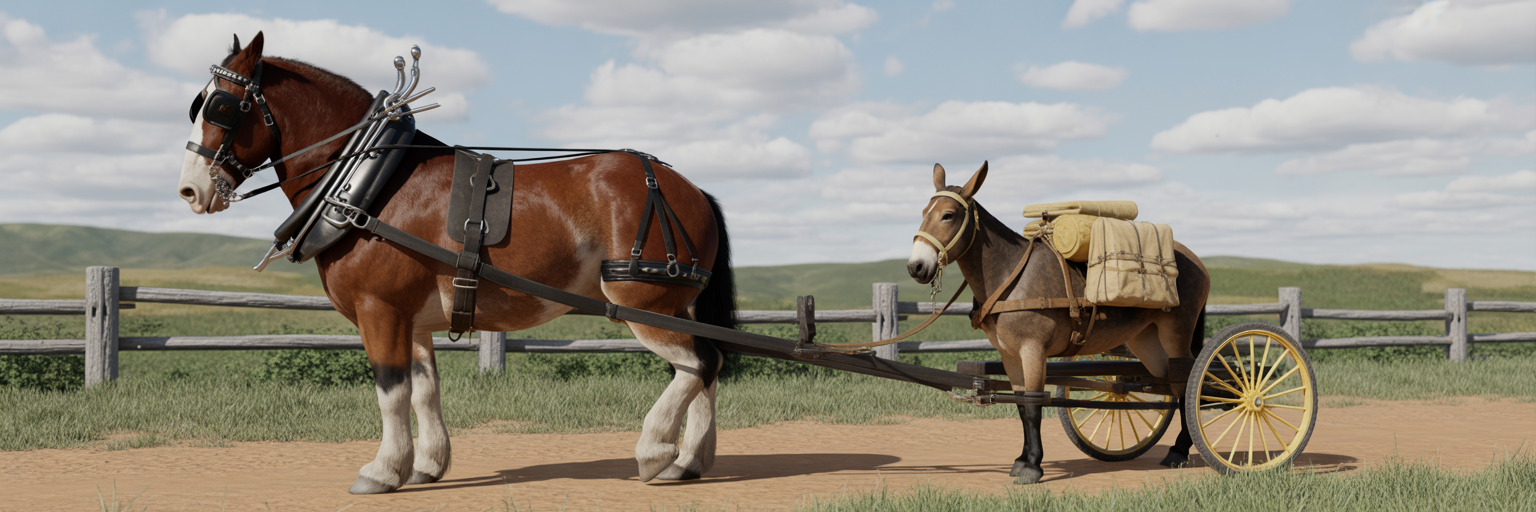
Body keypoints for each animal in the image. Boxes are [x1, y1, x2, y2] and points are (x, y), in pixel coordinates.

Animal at [175, 32, 737, 493]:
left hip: (645, 301)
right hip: (676, 307)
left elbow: (390, 390)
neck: (370, 183)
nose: (190, 190)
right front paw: (426, 465)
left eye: (220, 105)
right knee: (704, 368)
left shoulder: (379, 310)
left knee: (699, 363)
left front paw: (383, 471)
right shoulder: (414, 319)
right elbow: (424, 390)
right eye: (197, 104)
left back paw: (655, 450)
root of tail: (692, 190)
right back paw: (688, 462)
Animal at [906, 162, 1211, 484]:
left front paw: (1033, 466)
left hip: (1176, 336)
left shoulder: (1033, 351)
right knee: (1170, 387)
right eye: (924, 211)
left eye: (948, 215)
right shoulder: (1010, 356)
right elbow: (1020, 405)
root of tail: (1196, 260)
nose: (916, 267)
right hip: (1147, 342)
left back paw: (1180, 450)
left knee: (1190, 387)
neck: (1012, 276)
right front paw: (1021, 460)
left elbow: (1033, 405)